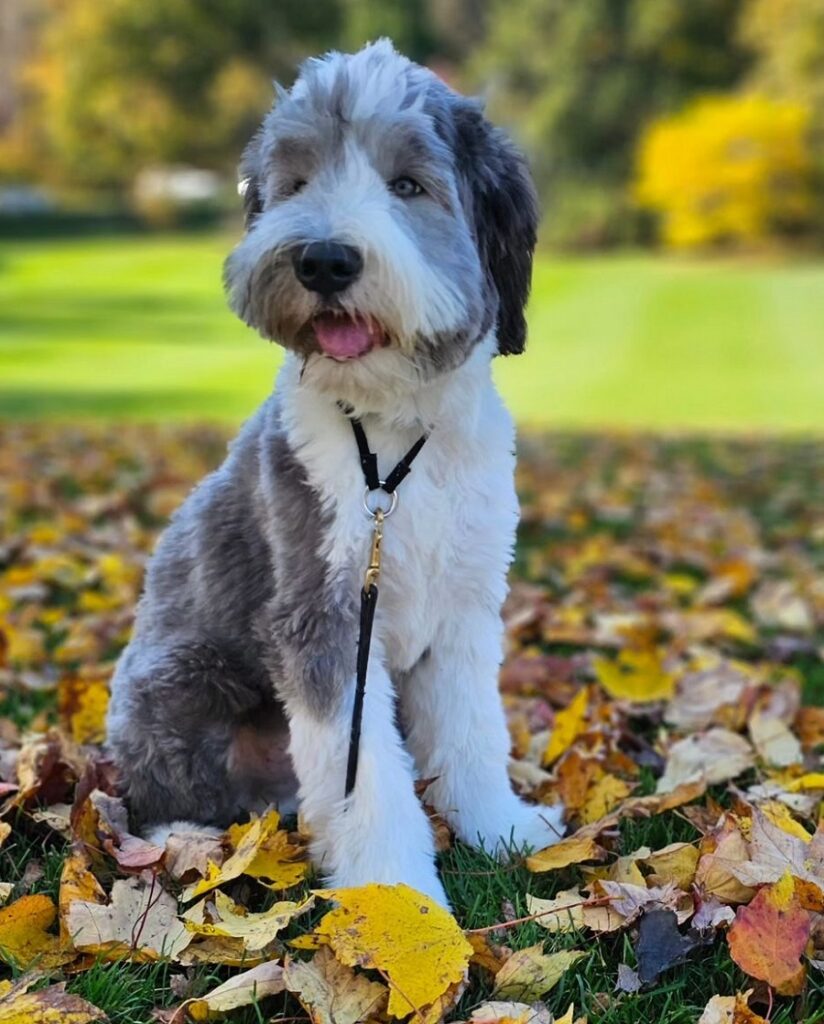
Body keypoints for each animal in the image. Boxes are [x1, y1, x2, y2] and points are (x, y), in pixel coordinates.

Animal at [105, 37, 560, 905]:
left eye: (408, 184)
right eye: (298, 181)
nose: (322, 259)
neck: (394, 432)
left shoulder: (464, 609)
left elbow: (473, 729)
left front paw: (502, 828)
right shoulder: (323, 617)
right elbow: (368, 776)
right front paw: (398, 899)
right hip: (176, 683)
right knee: (154, 794)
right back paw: (185, 842)